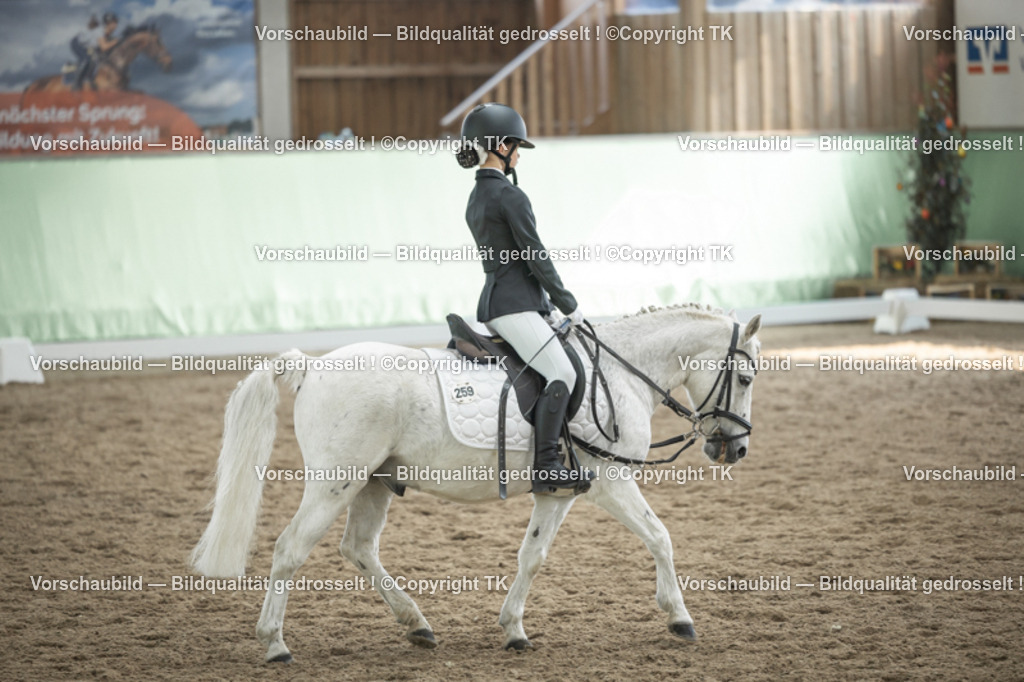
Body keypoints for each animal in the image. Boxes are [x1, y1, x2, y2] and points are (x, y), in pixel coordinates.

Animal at [191, 304, 762, 663]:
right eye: (746, 378)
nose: (734, 450)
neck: (620, 375)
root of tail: (311, 366)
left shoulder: (558, 492)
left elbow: (532, 556)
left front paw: (514, 631)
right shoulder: (611, 482)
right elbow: (660, 536)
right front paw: (680, 618)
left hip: (372, 482)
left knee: (358, 548)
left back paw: (417, 624)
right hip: (336, 482)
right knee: (290, 549)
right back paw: (275, 644)